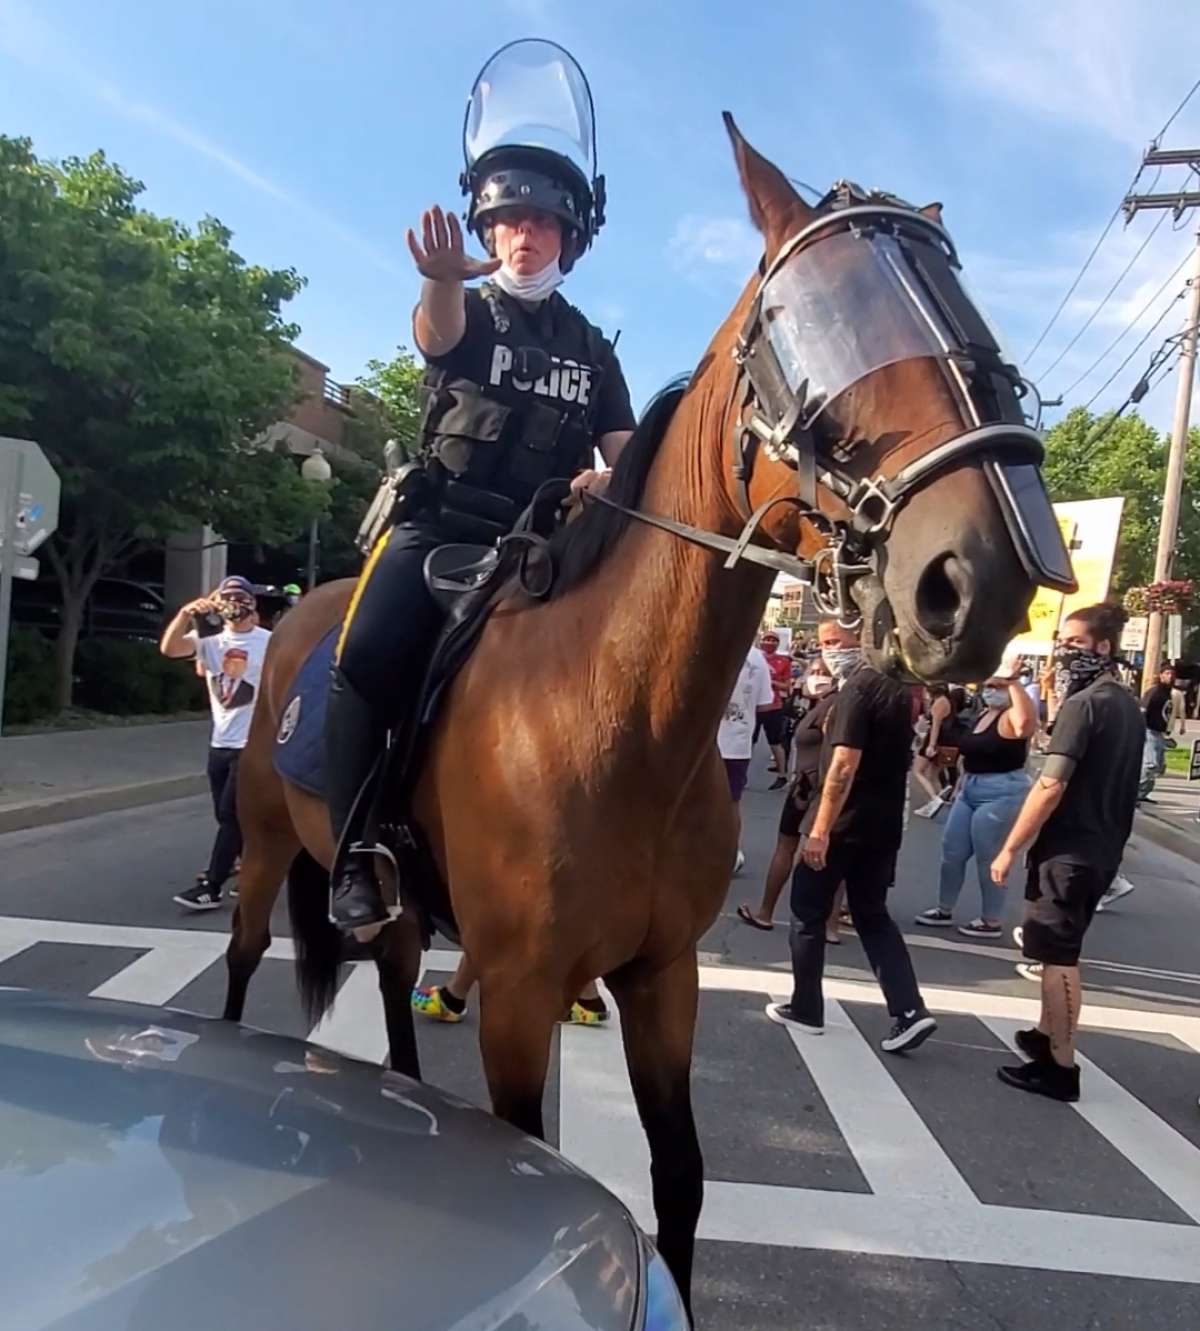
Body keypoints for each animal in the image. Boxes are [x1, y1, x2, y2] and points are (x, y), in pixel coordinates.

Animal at [223, 117, 1053, 1309]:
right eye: (807, 323)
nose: (979, 575)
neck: (622, 724)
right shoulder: (521, 993)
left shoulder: (664, 978)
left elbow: (682, 1177)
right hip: (257, 845)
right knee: (245, 960)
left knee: (387, 988)